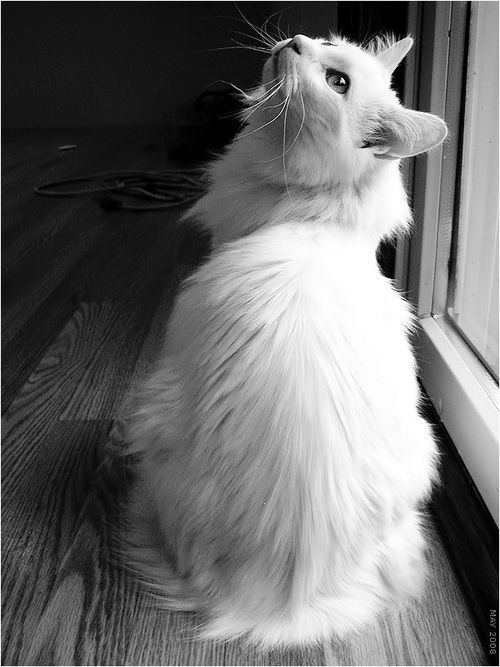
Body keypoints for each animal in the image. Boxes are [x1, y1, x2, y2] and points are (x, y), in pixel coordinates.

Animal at [123, 31, 448, 648]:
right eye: (323, 44)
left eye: (338, 81)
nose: (296, 41)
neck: (311, 219)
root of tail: (283, 609)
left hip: (151, 413)